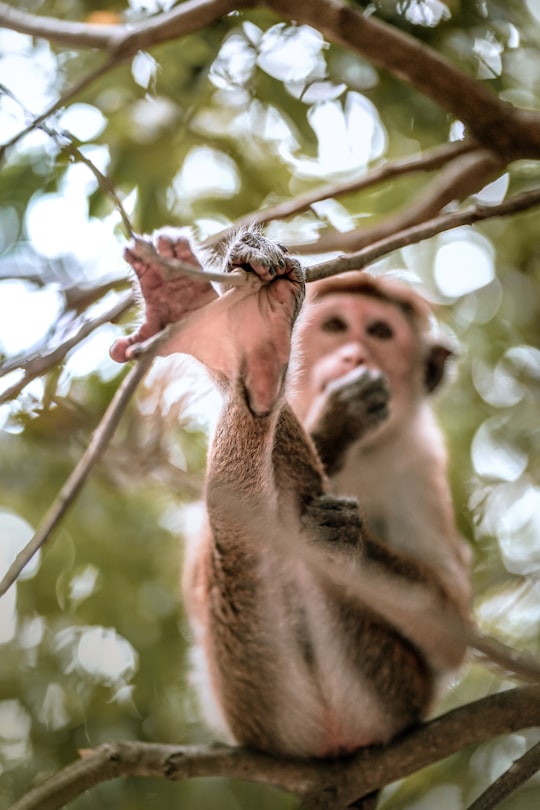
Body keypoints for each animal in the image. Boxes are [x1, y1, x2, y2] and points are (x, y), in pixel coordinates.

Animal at [108, 230, 468, 760]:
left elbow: (452, 626)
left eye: (380, 333)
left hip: (378, 686)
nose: (354, 356)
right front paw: (340, 420)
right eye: (337, 326)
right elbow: (196, 580)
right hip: (251, 693)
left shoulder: (420, 462)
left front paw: (347, 535)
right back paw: (236, 343)